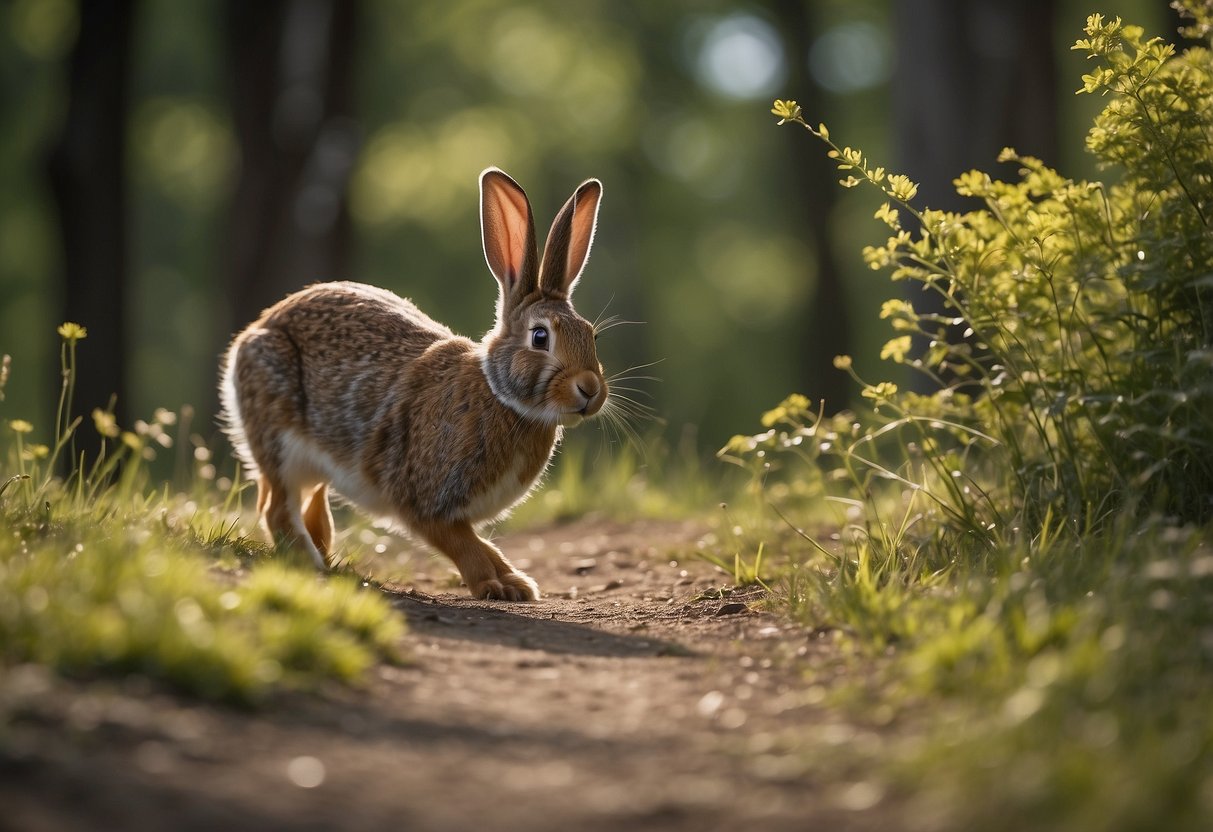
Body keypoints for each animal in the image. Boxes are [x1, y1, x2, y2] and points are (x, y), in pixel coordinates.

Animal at [218, 167, 606, 599]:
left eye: (591, 336)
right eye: (540, 337)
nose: (591, 390)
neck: (499, 395)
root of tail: (256, 330)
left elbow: (484, 544)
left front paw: (516, 583)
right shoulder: (425, 501)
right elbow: (465, 545)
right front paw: (493, 586)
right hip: (278, 434)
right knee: (277, 507)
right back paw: (310, 563)